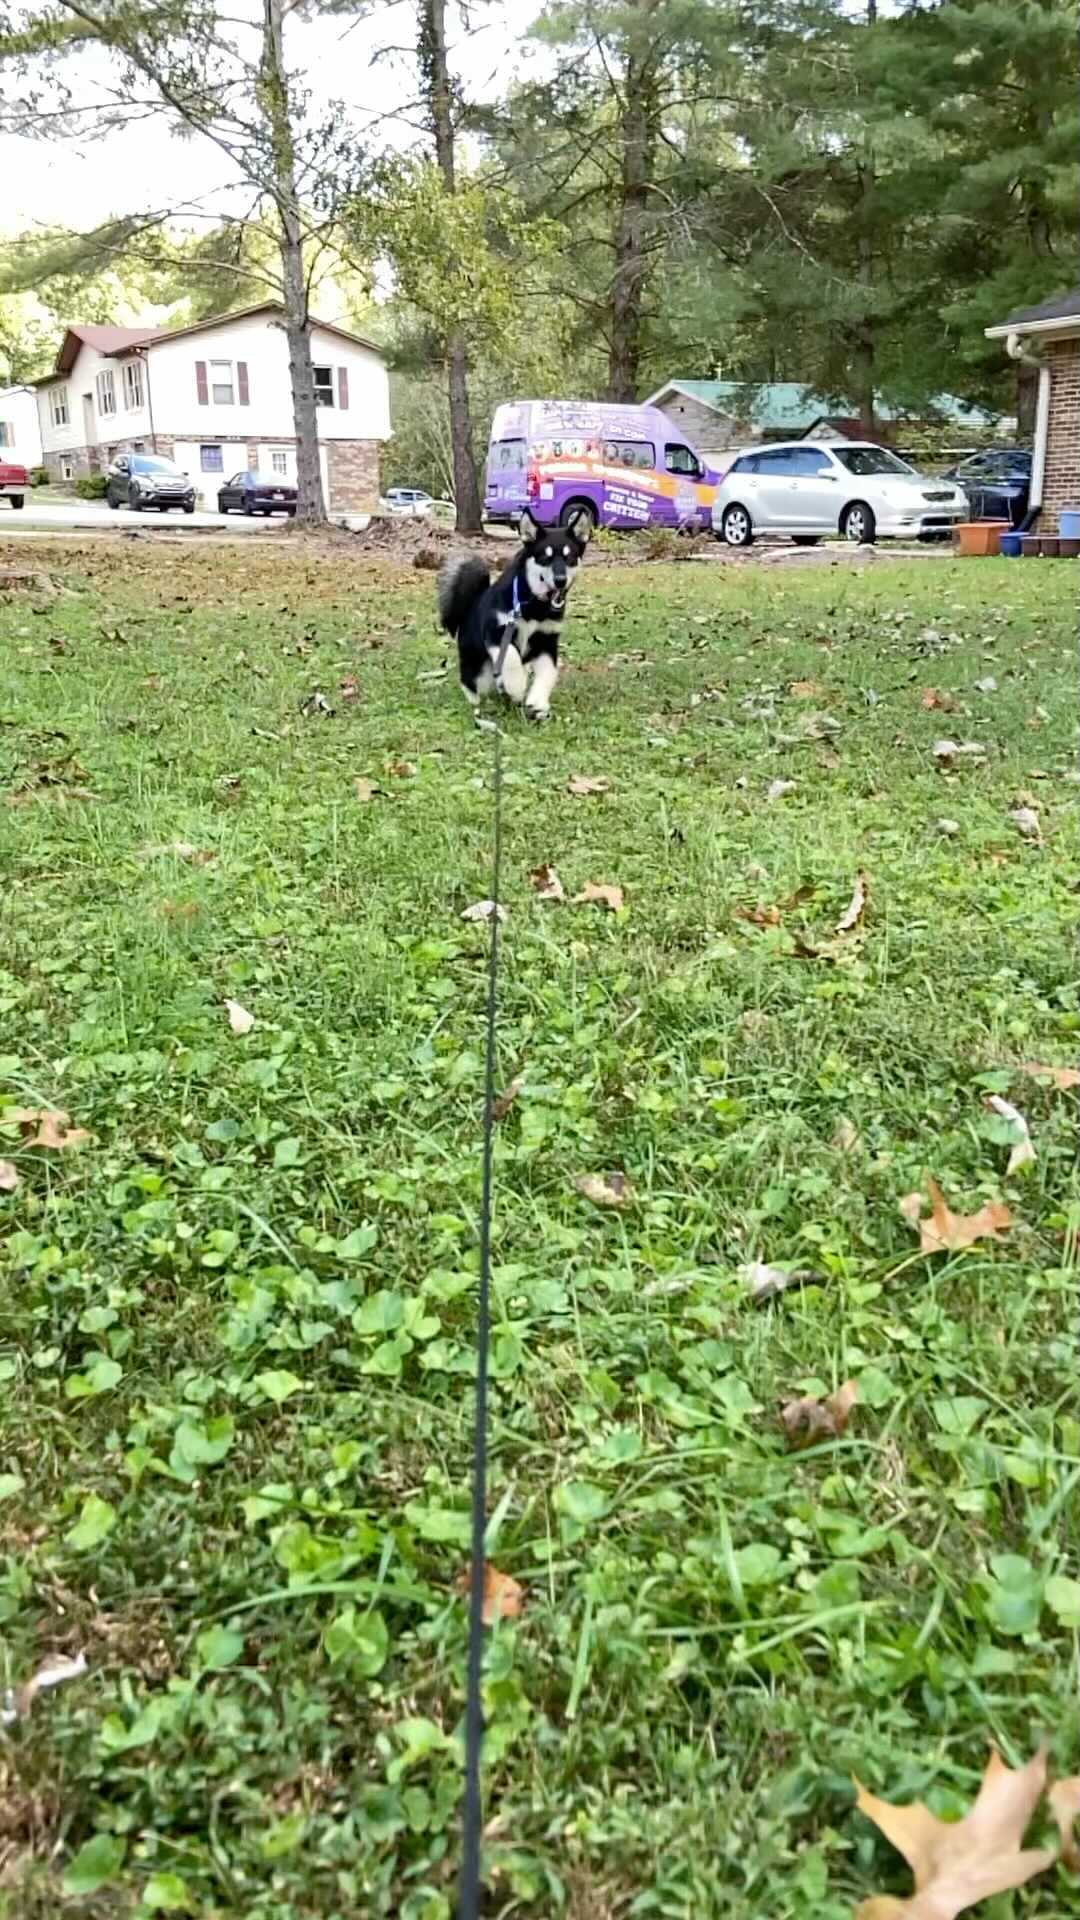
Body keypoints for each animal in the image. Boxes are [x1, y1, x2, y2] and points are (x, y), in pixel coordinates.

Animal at [434, 506, 588, 721]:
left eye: (570, 557)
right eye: (545, 557)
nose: (560, 580)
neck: (532, 604)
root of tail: (471, 604)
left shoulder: (546, 640)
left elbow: (549, 672)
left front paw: (538, 702)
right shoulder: (498, 631)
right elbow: (511, 658)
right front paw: (516, 686)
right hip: (476, 662)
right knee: (470, 680)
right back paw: (476, 699)